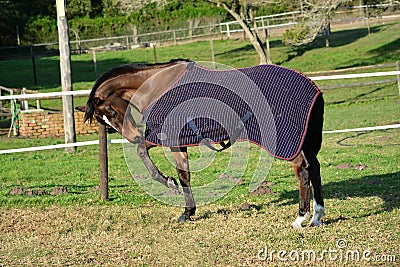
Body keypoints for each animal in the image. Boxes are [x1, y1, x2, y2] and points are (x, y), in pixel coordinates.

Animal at [76, 59, 326, 229]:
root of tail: (312, 87)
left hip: (289, 142)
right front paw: (188, 211)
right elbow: (183, 174)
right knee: (314, 169)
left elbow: (154, 161)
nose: (132, 135)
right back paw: (317, 216)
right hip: (306, 141)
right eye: (103, 122)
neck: (158, 86)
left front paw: (170, 185)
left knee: (302, 170)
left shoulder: (168, 137)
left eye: (111, 112)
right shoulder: (175, 140)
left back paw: (300, 217)